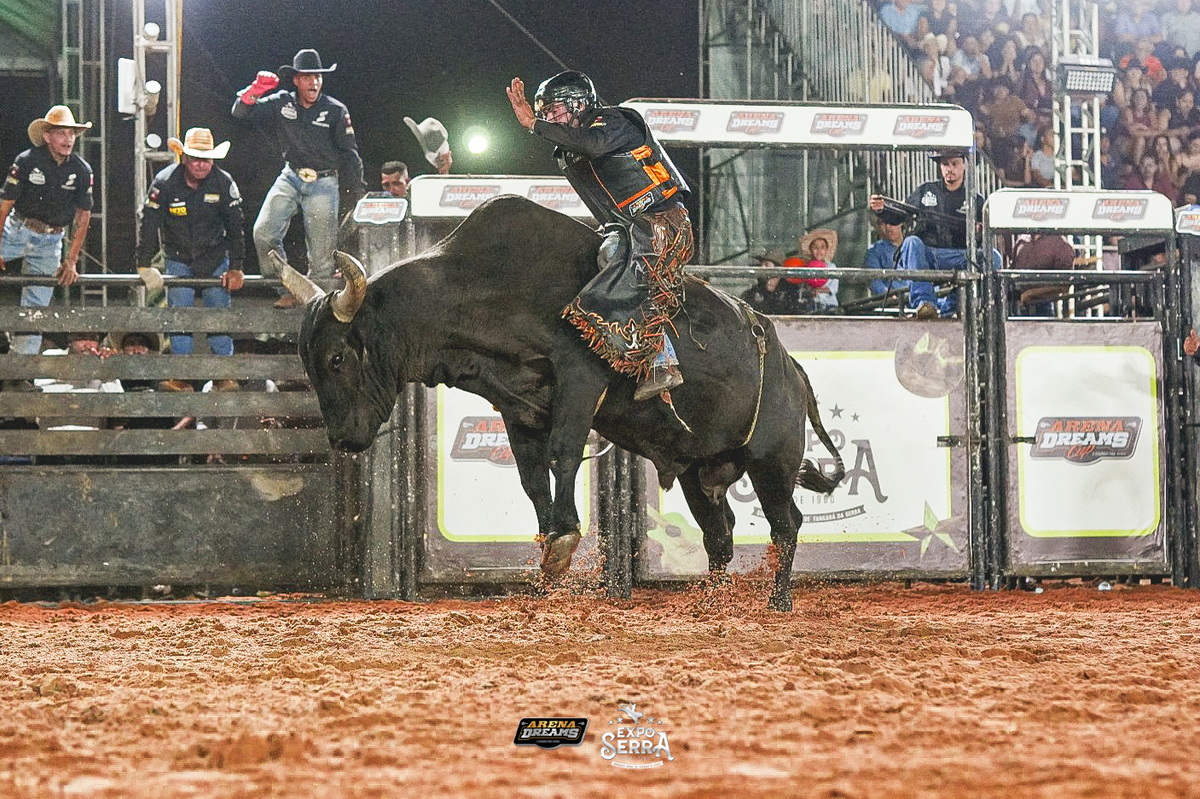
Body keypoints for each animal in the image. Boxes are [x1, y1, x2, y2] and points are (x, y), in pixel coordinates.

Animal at [279, 195, 843, 611]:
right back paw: (713, 600)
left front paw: (565, 540)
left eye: (336, 358)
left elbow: (564, 453)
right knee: (719, 534)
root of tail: (793, 371)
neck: (484, 288)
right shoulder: (518, 408)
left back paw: (778, 601)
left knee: (786, 524)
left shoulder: (580, 375)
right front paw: (548, 547)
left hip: (771, 460)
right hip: (699, 471)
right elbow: (532, 477)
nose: (342, 439)